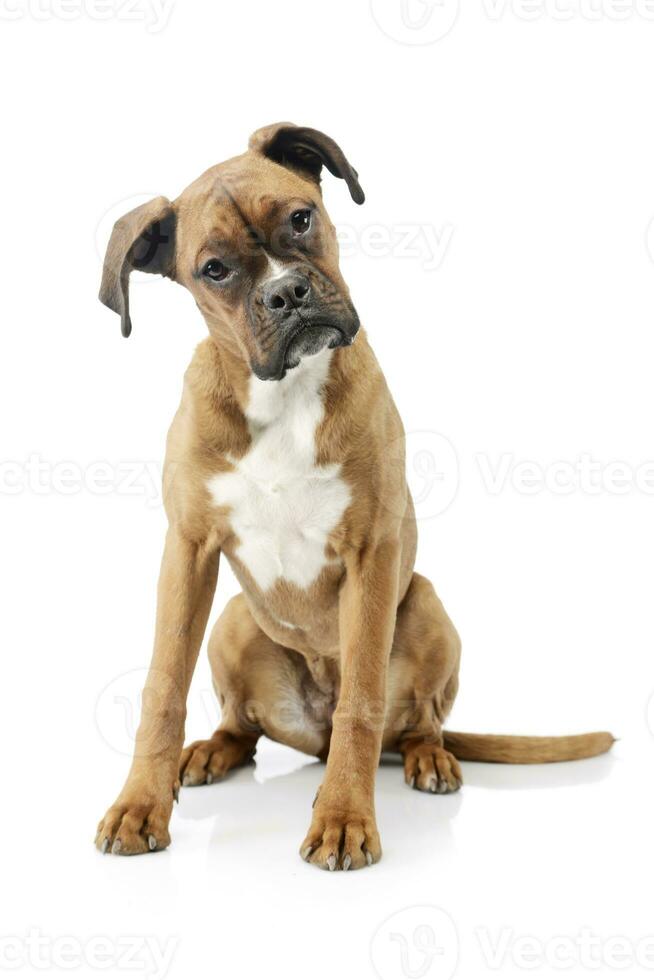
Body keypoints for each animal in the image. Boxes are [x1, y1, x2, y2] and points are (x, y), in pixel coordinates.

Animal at [95, 124, 616, 872]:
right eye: (214, 268)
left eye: (300, 218)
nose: (287, 293)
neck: (283, 396)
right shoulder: (188, 551)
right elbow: (162, 687)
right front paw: (140, 804)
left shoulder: (372, 553)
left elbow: (362, 703)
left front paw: (343, 816)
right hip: (232, 619)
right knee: (240, 726)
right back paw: (210, 752)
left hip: (424, 603)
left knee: (417, 722)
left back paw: (429, 760)